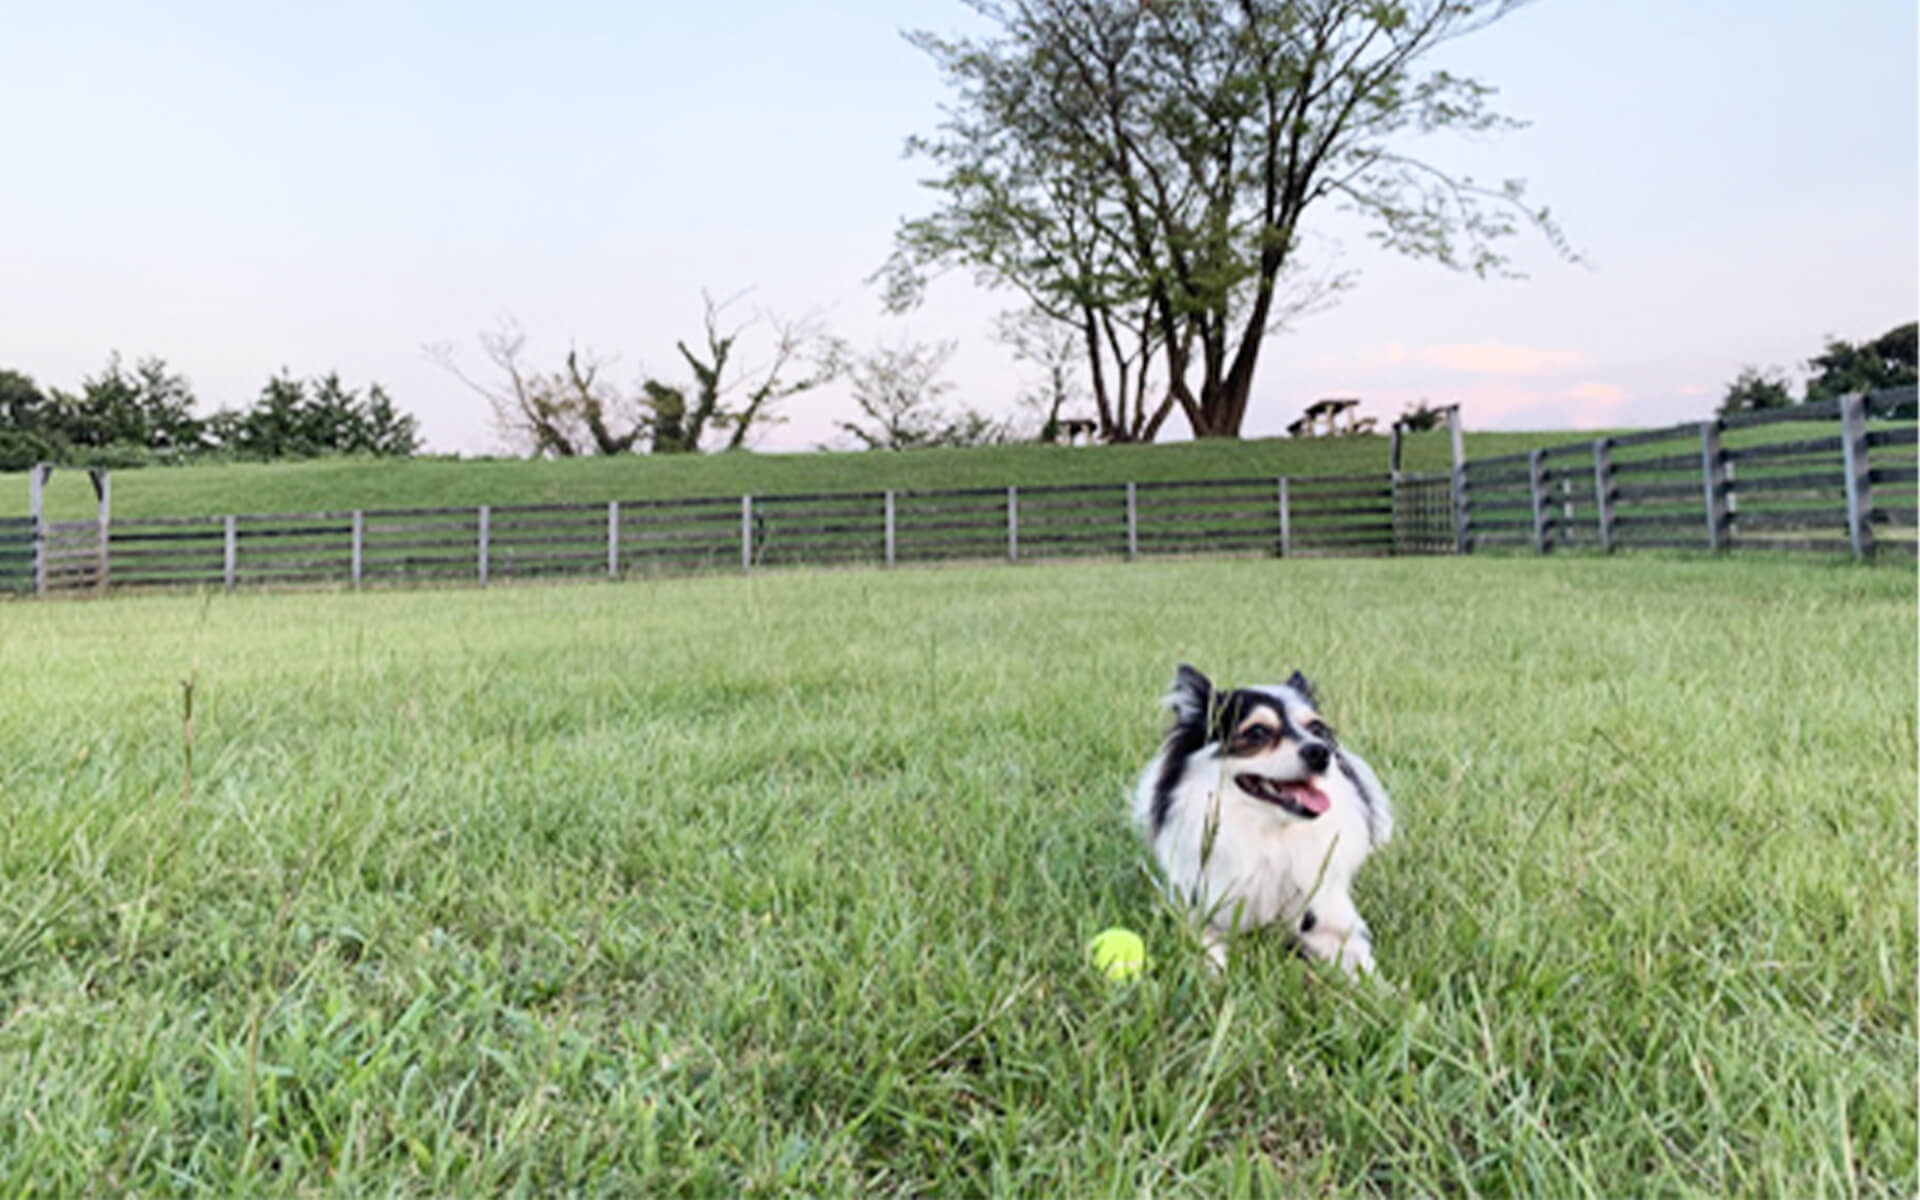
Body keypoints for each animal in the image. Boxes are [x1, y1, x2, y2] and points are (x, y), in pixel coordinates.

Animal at [1121, 664, 1397, 975]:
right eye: (1257, 732)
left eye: (1317, 729)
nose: (1320, 751)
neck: (1268, 833)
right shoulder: (1197, 911)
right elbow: (1207, 949)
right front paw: (1218, 978)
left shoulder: (1332, 918)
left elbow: (1364, 966)